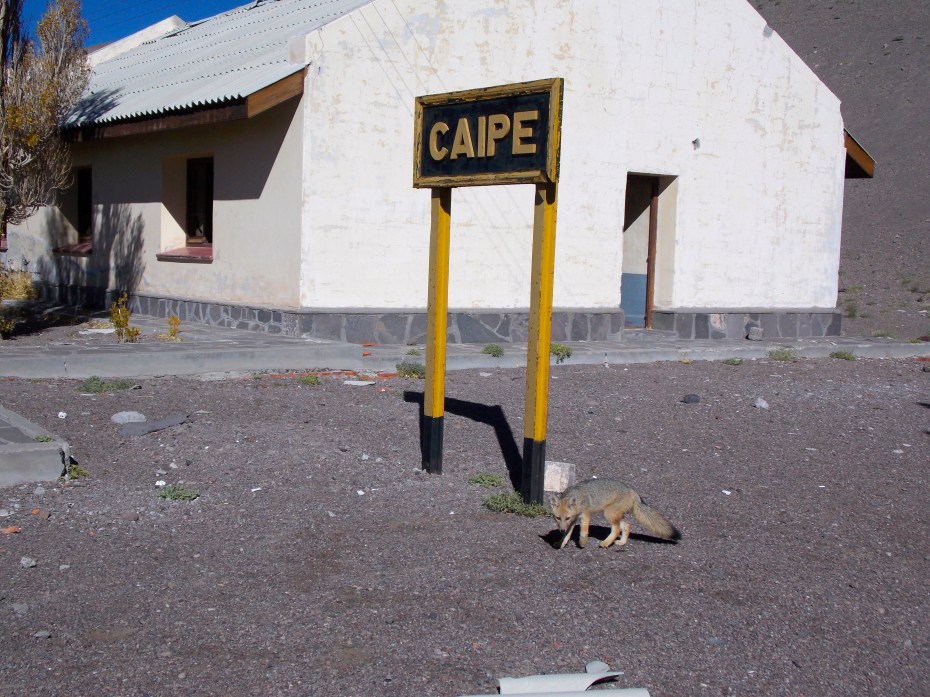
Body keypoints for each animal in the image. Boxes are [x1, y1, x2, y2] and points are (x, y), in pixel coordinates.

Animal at [548, 478, 681, 549]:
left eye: (567, 517)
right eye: (557, 518)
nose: (561, 529)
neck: (577, 496)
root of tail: (631, 490)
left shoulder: (585, 515)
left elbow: (584, 531)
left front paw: (583, 542)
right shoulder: (572, 522)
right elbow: (567, 535)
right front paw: (560, 543)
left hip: (608, 513)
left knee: (617, 529)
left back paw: (606, 543)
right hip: (615, 515)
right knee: (627, 525)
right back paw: (621, 542)